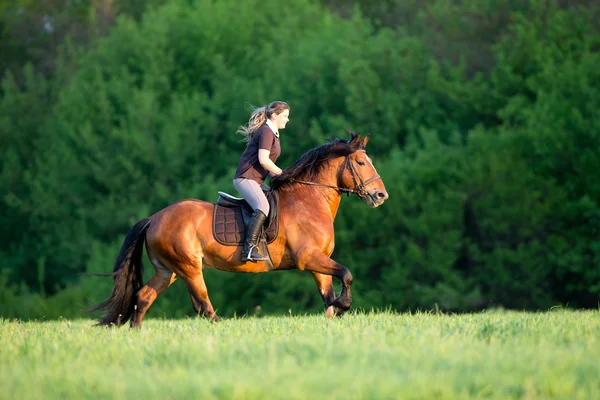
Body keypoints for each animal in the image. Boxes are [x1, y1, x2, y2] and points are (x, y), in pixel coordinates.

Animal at [92, 133, 390, 326]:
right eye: (361, 163)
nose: (380, 195)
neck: (309, 200)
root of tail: (154, 218)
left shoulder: (319, 262)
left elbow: (329, 292)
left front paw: (335, 310)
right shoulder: (309, 258)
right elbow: (347, 274)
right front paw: (343, 305)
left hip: (169, 271)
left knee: (143, 298)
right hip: (189, 268)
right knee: (203, 306)